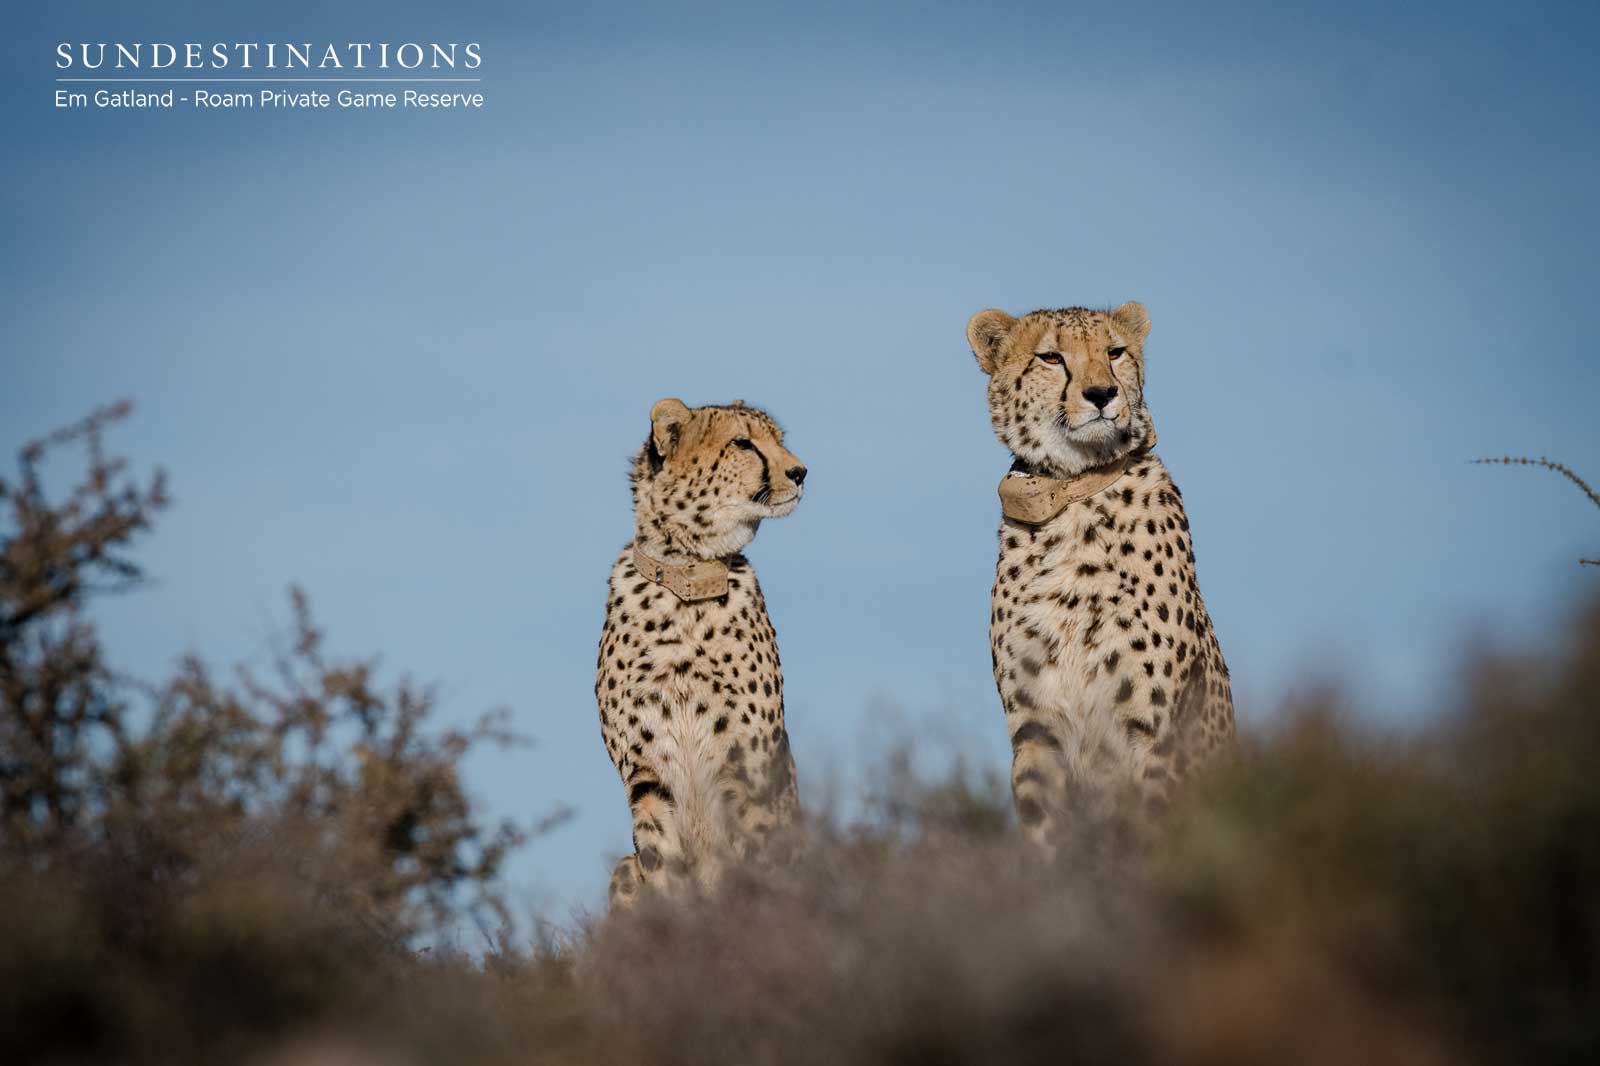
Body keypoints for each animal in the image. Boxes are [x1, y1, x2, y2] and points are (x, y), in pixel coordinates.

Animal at [596, 398, 807, 910]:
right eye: (743, 443)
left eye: (778, 439)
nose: (800, 472)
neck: (687, 584)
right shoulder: (647, 776)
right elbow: (662, 864)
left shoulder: (746, 767)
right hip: (622, 868)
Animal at [965, 301, 1235, 851]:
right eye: (1050, 357)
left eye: (1115, 352)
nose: (1102, 394)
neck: (1074, 496)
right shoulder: (1035, 731)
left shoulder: (1156, 730)